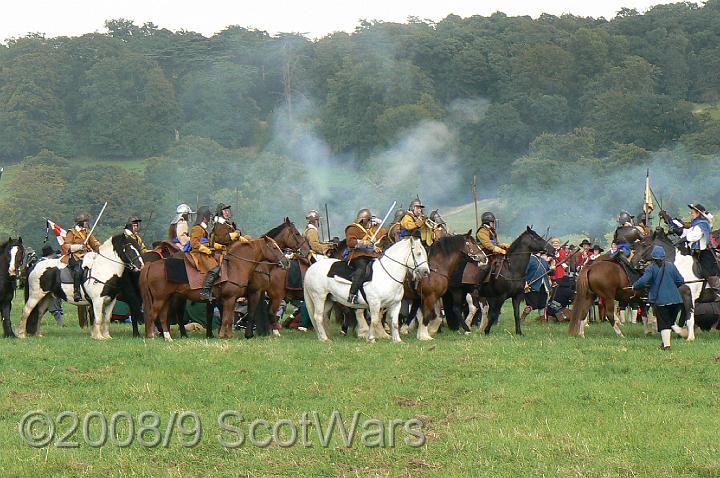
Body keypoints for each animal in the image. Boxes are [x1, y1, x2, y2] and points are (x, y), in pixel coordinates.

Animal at [139, 235, 288, 340]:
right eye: (274, 247)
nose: (286, 262)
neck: (236, 265)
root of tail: (151, 265)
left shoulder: (232, 299)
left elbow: (228, 318)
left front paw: (229, 335)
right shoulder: (233, 298)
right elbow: (228, 318)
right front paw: (224, 336)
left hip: (166, 297)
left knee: (163, 316)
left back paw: (168, 337)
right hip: (160, 298)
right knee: (152, 314)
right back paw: (151, 336)